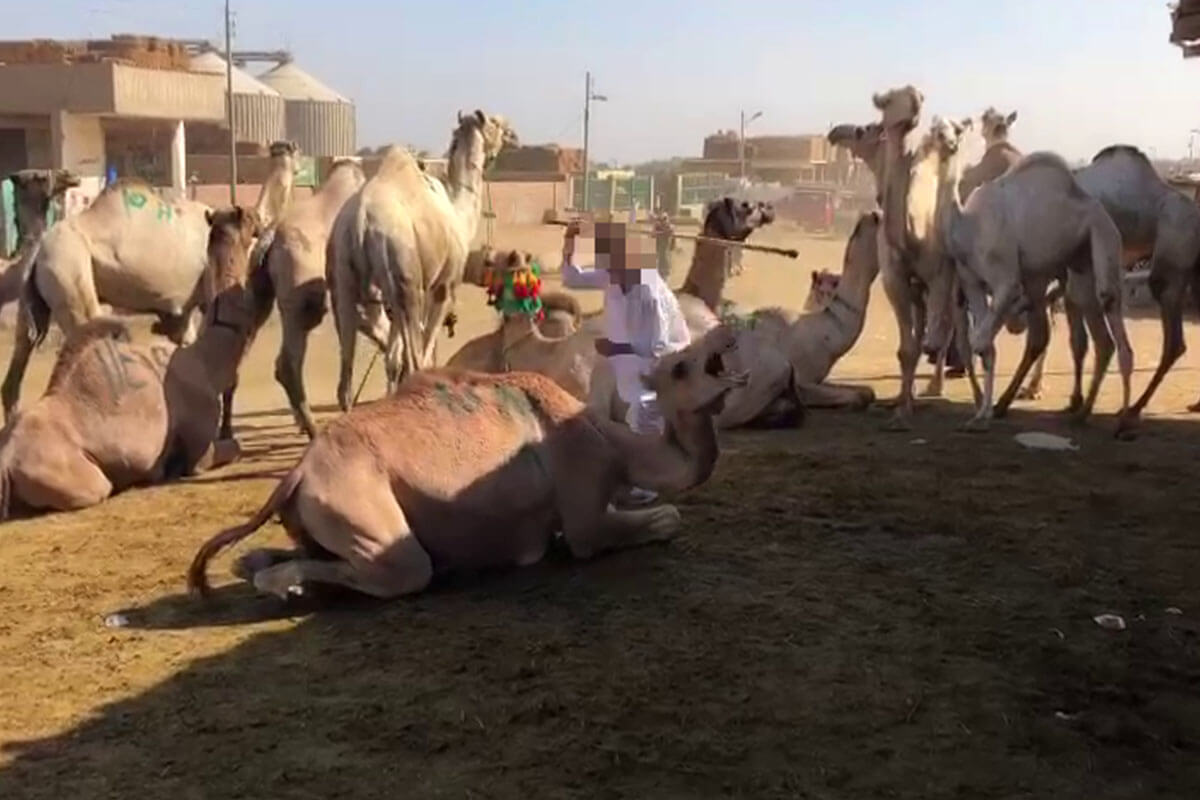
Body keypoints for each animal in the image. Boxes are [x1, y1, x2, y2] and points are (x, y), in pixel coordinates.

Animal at [0, 206, 261, 520]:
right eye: (251, 221)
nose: (262, 221)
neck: (205, 358)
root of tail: (5, 462)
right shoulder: (199, 447)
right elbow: (232, 447)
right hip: (81, 479)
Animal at [182, 323, 744, 599]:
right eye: (680, 366)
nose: (729, 332)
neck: (613, 445)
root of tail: (299, 471)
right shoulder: (584, 506)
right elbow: (663, 519)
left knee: (261, 556)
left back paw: (270, 574)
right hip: (365, 516)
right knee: (403, 570)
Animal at [328, 109, 516, 410]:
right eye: (496, 123)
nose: (513, 133)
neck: (458, 212)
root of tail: (359, 220)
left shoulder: (392, 301)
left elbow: (393, 361)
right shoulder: (442, 287)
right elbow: (423, 357)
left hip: (344, 279)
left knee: (345, 382)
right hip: (406, 280)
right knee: (415, 363)